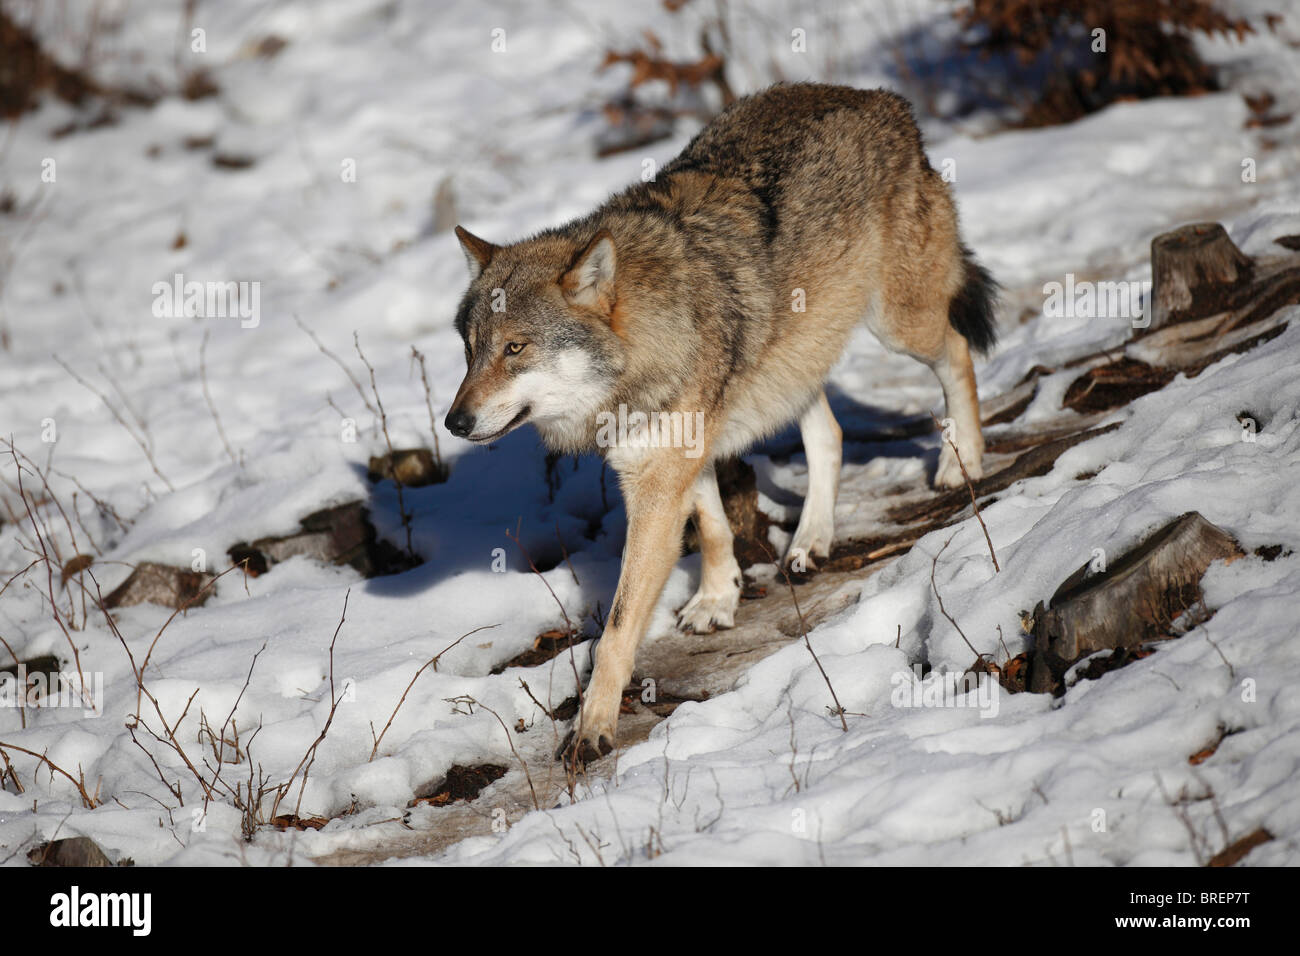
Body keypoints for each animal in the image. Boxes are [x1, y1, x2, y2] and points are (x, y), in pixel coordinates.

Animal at [444, 83, 997, 766]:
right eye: (470, 351)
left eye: (515, 348)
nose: (454, 420)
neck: (647, 340)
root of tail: (883, 98)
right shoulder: (682, 455)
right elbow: (711, 527)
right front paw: (717, 599)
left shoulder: (657, 483)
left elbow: (618, 626)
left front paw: (593, 727)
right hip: (789, 363)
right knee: (830, 435)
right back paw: (810, 541)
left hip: (899, 326)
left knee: (958, 354)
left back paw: (960, 460)